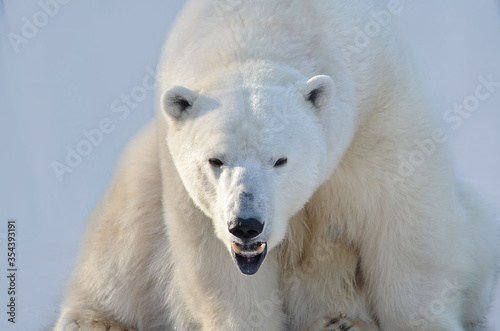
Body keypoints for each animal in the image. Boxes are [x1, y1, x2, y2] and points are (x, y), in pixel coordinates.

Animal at [54, 0, 496, 331]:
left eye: (280, 159)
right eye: (216, 160)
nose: (246, 224)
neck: (261, 24)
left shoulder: (380, 115)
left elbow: (406, 230)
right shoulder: (185, 185)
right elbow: (220, 271)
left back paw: (342, 323)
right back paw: (93, 322)